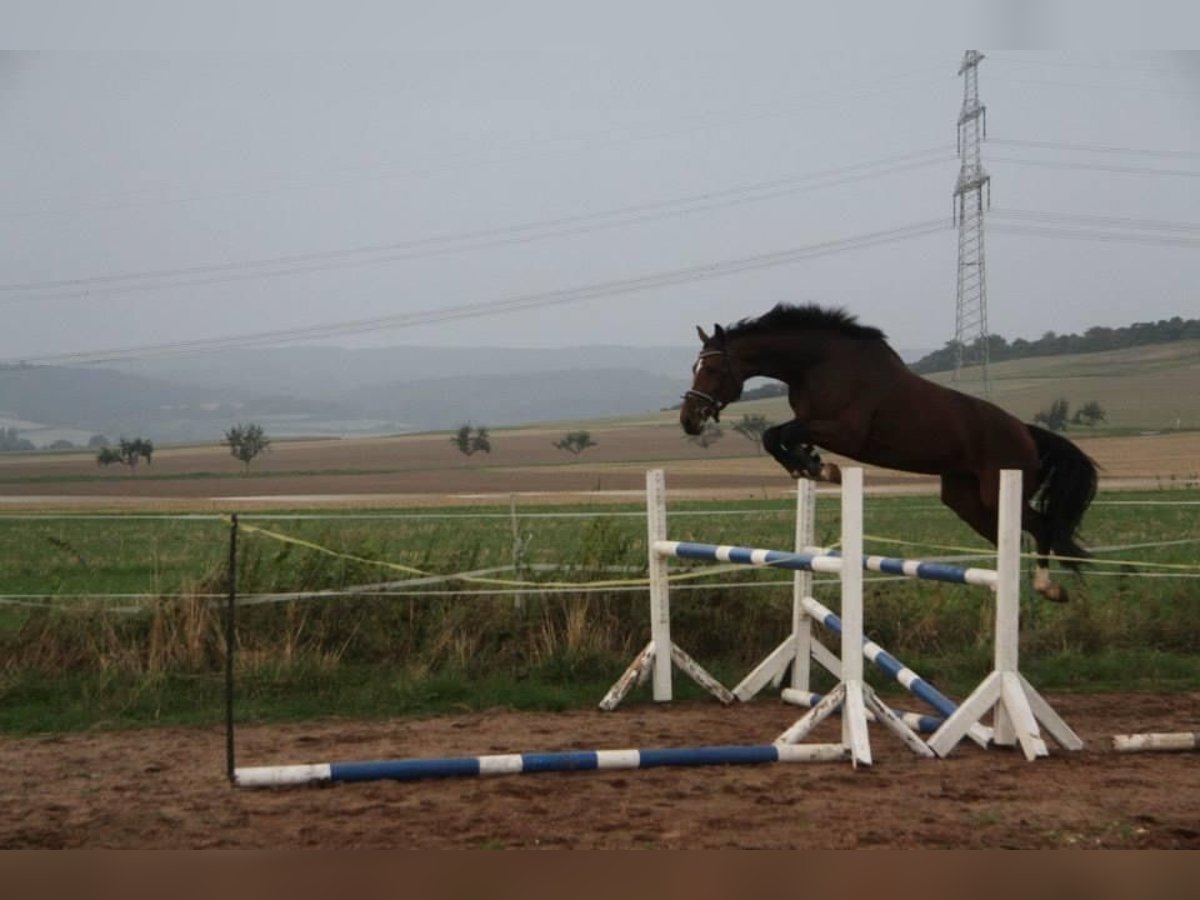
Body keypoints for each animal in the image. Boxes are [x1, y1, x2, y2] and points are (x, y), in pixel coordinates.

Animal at [681, 304, 1099, 607]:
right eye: (694, 366)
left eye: (713, 368)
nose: (688, 420)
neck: (818, 364)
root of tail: (1027, 433)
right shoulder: (813, 422)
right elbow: (775, 436)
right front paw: (813, 466)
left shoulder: (844, 431)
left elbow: (779, 434)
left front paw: (819, 467)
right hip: (965, 498)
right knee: (1013, 534)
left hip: (998, 488)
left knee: (1042, 526)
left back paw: (1047, 587)